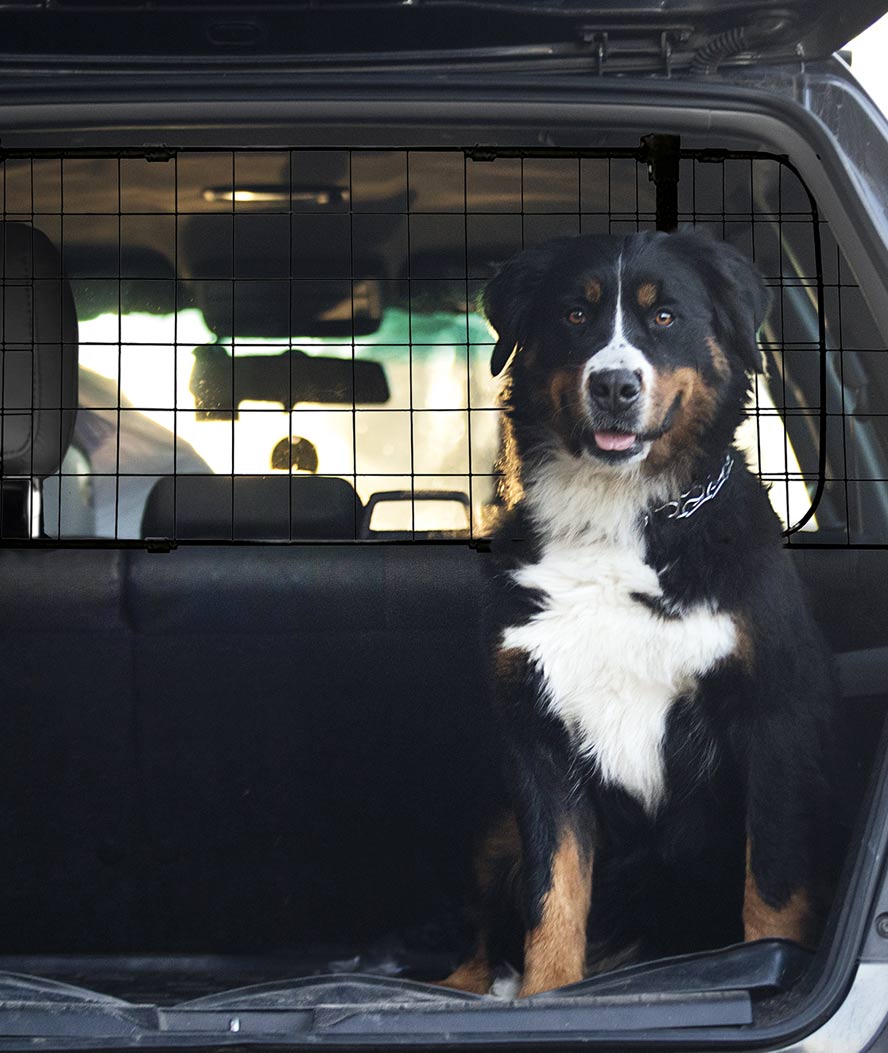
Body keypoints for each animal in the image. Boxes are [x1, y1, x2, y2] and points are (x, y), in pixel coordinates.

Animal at [442, 228, 838, 994]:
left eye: (664, 316)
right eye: (575, 315)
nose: (614, 386)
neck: (613, 517)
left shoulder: (773, 717)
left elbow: (771, 887)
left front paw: (765, 963)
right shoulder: (537, 738)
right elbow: (554, 894)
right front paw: (546, 994)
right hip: (493, 828)